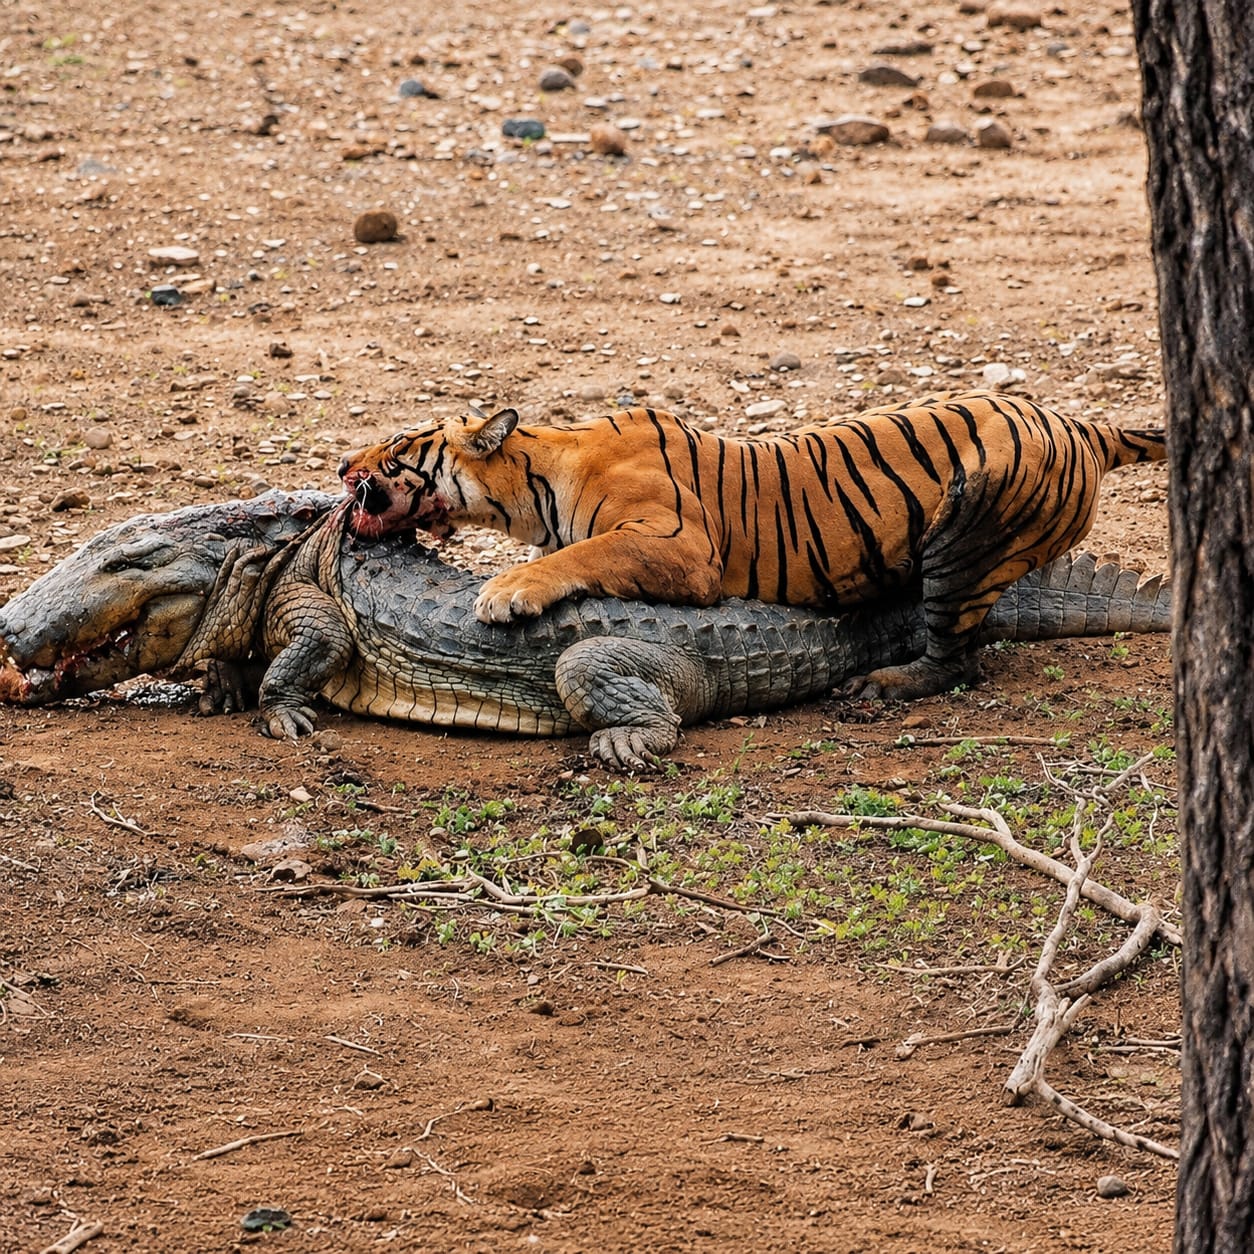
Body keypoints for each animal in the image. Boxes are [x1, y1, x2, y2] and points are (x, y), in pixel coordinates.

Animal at [337, 390, 1166, 701]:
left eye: (397, 447)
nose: (342, 467)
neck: (540, 474)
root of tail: (1078, 423)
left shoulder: (680, 545)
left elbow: (579, 555)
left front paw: (506, 592)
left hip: (965, 539)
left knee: (955, 656)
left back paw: (886, 684)